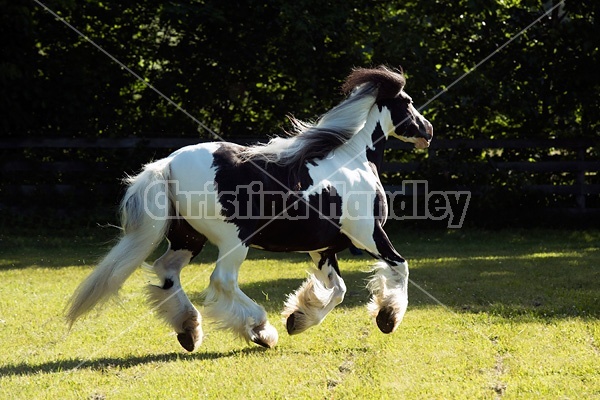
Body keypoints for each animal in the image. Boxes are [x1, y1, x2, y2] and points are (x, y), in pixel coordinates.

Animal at [67, 67, 432, 352]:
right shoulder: (368, 235)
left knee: (166, 270)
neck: (353, 161)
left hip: (188, 238)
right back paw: (260, 331)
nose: (427, 131)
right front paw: (387, 317)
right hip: (233, 241)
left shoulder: (322, 249)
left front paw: (298, 318)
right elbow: (400, 267)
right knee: (221, 281)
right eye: (408, 103)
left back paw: (189, 330)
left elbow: (339, 291)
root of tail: (167, 163)